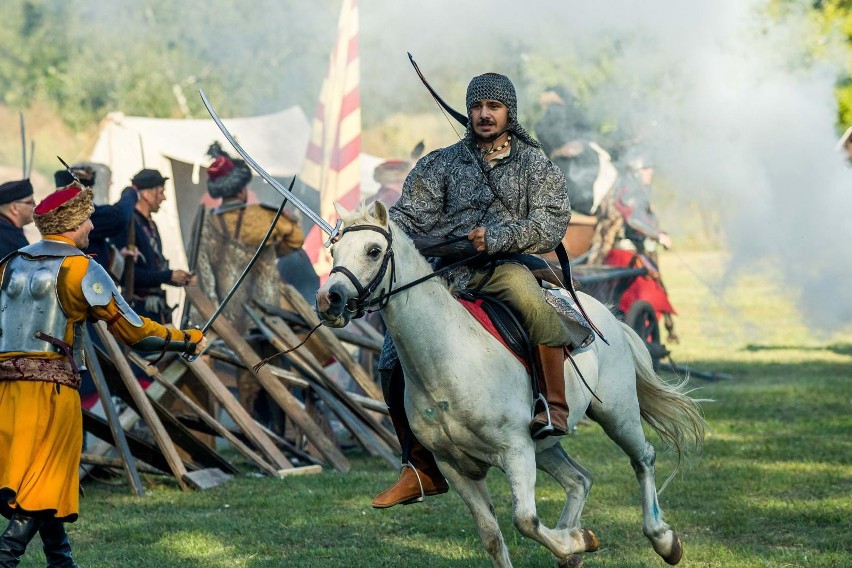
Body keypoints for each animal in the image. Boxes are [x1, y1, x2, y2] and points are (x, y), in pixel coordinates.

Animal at [314, 202, 704, 564]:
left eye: (373, 250)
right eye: (333, 251)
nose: (328, 299)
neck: (451, 358)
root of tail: (607, 315)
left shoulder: (515, 451)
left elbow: (525, 521)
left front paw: (579, 540)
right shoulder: (457, 467)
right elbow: (492, 537)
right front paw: (575, 541)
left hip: (616, 414)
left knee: (643, 459)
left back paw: (662, 540)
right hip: (545, 446)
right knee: (579, 479)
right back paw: (573, 545)